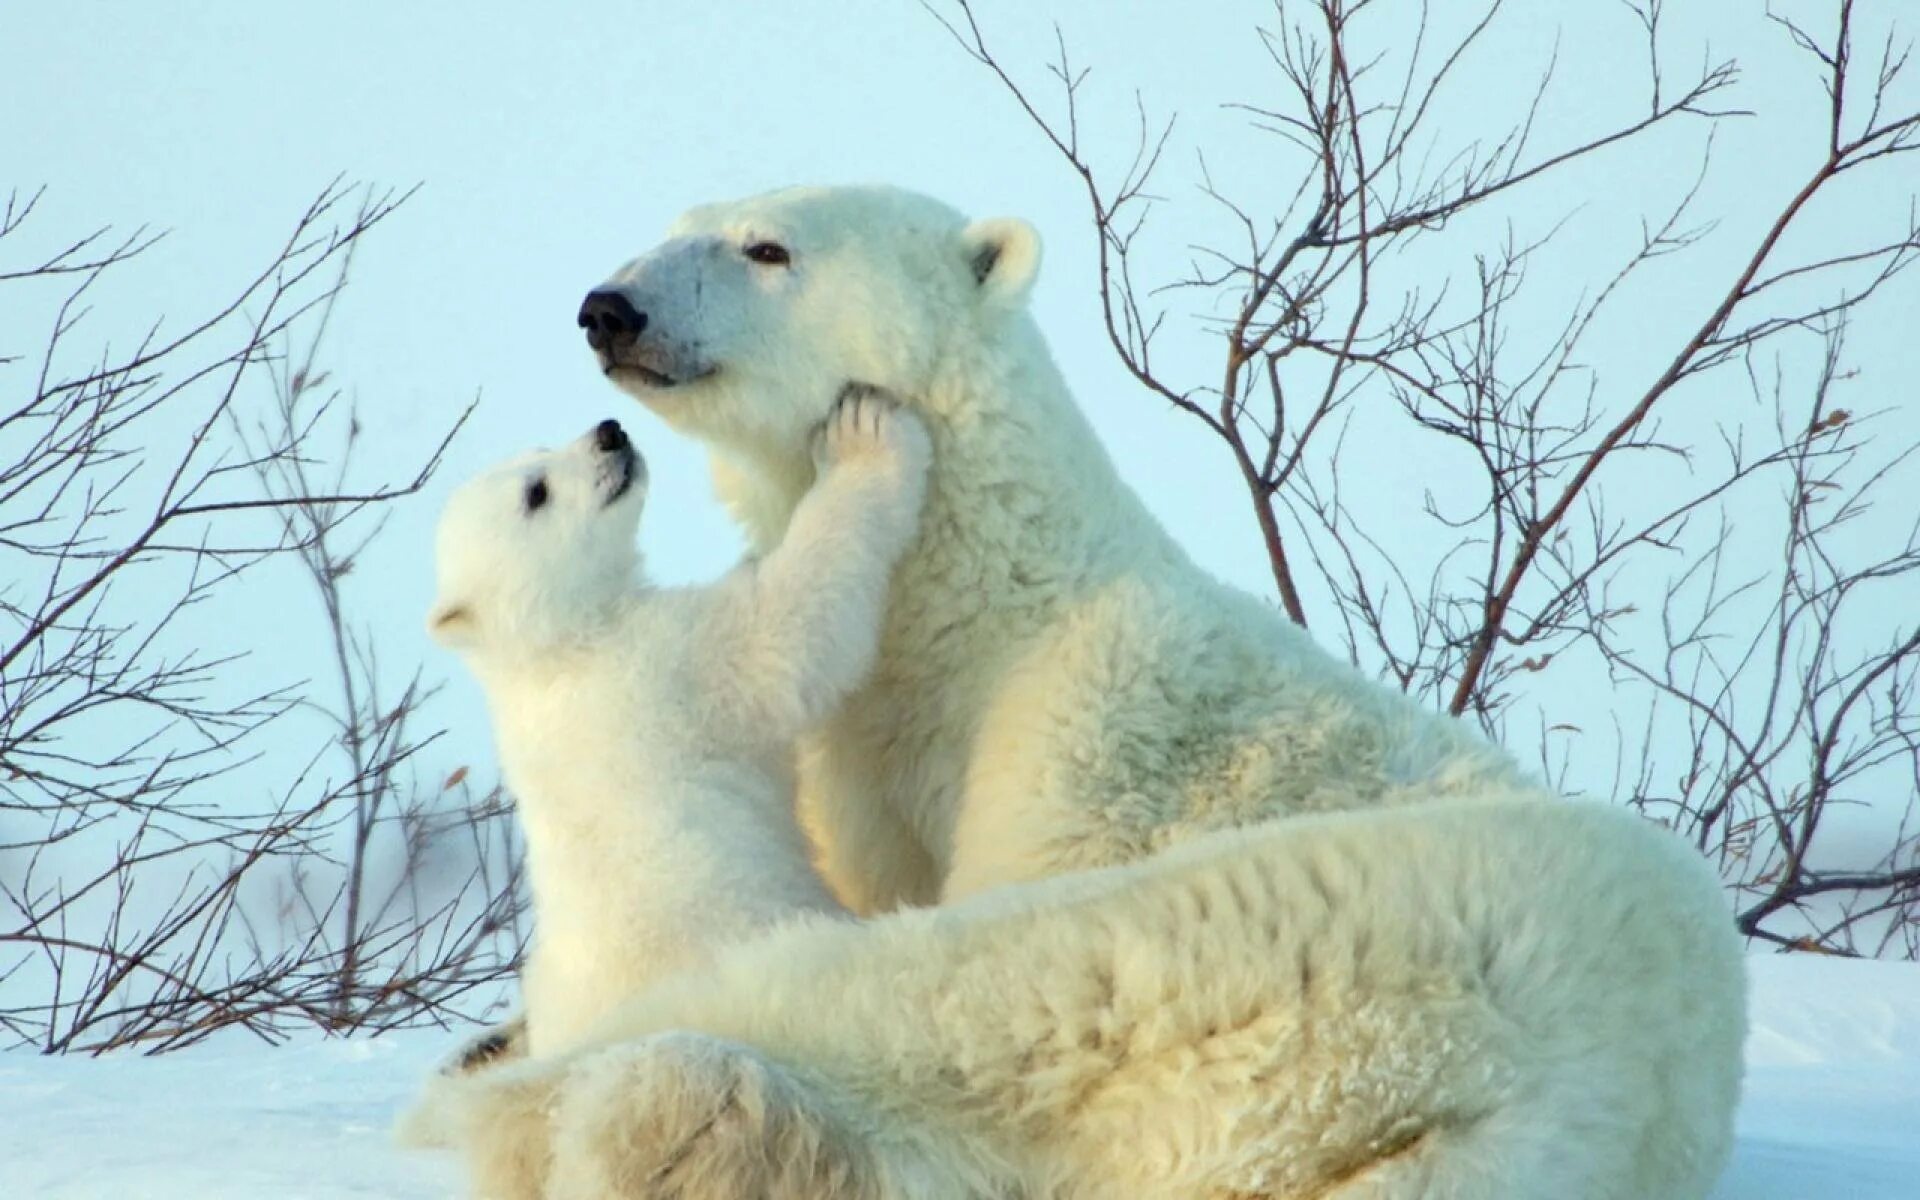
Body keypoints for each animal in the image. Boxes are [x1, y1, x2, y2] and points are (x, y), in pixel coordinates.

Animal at [422, 387, 929, 1052]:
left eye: (537, 450)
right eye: (537, 492)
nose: (609, 432)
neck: (558, 649)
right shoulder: (668, 665)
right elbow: (787, 631)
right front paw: (864, 439)